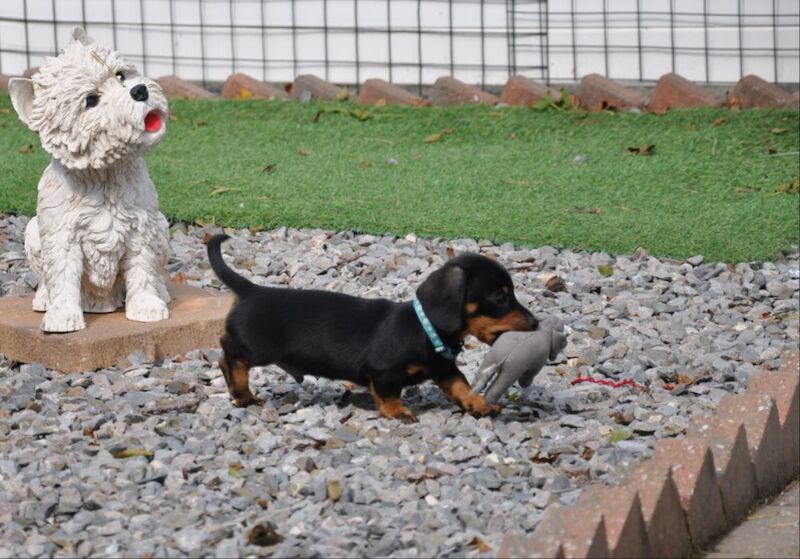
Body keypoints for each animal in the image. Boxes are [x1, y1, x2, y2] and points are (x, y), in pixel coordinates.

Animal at [206, 234, 536, 422]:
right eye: (500, 297)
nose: (535, 323)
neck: (426, 329)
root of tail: (251, 290)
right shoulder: (385, 372)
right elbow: (389, 394)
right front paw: (397, 412)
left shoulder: (444, 369)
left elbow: (461, 386)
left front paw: (478, 404)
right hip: (258, 348)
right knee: (228, 353)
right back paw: (241, 391)